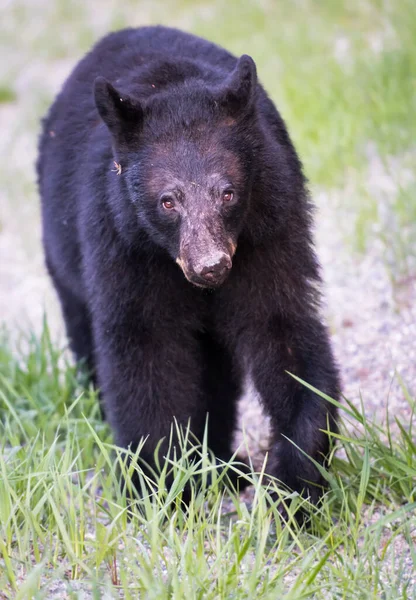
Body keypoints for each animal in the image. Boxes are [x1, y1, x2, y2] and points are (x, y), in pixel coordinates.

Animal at [37, 27, 340, 506]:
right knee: (86, 339)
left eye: (228, 193)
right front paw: (157, 486)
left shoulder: (269, 229)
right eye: (168, 200)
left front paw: (296, 486)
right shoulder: (124, 246)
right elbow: (145, 351)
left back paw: (222, 463)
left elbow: (282, 331)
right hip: (63, 258)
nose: (210, 266)